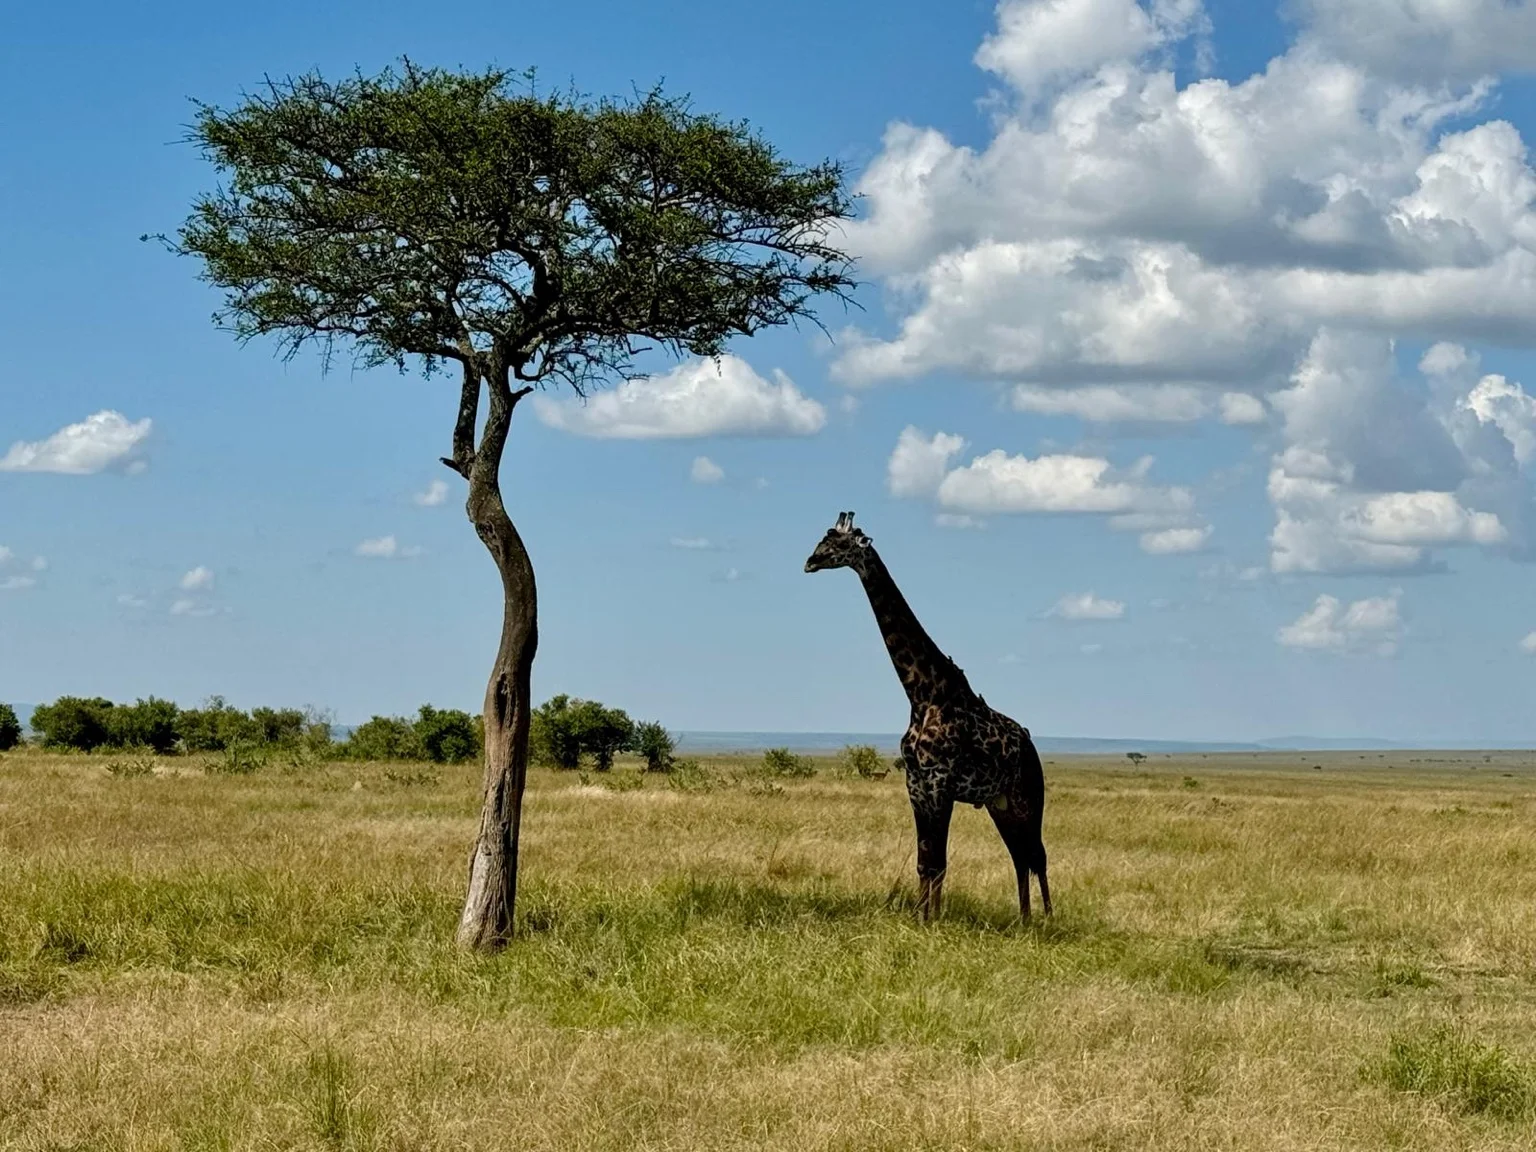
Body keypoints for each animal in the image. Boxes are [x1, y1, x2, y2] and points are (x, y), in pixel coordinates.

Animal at [804, 511, 1051, 923]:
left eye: (839, 545)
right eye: (821, 539)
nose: (809, 562)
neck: (922, 694)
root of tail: (1030, 744)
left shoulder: (940, 783)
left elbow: (938, 861)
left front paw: (932, 919)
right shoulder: (916, 786)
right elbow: (926, 861)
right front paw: (921, 917)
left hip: (1027, 796)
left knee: (1038, 856)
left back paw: (1046, 919)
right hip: (999, 803)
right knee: (1021, 857)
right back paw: (1024, 919)